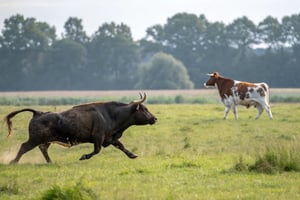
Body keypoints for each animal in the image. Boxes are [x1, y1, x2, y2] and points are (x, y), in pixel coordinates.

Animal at [4, 93, 157, 163]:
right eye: (144, 109)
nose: (154, 118)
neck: (110, 114)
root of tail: (38, 113)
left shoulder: (110, 138)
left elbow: (121, 146)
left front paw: (132, 155)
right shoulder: (98, 137)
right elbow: (96, 150)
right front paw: (83, 156)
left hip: (46, 140)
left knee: (43, 149)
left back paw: (50, 162)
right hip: (35, 139)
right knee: (24, 147)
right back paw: (13, 161)